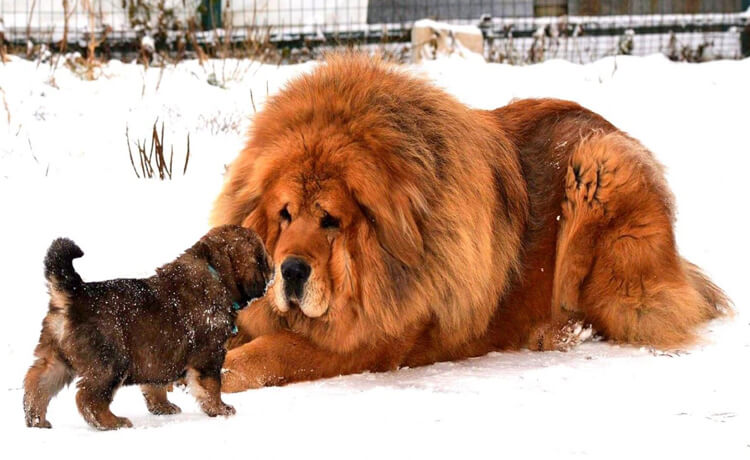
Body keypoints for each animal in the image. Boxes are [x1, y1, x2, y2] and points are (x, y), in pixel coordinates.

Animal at [23, 225, 274, 430]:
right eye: (262, 256)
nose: (274, 267)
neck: (216, 272)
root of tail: (73, 293)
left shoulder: (157, 355)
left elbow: (155, 386)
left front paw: (162, 407)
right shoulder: (209, 354)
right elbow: (212, 386)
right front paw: (221, 410)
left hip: (56, 357)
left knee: (37, 383)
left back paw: (36, 420)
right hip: (111, 362)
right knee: (88, 398)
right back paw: (112, 422)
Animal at [212, 54, 728, 392]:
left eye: (331, 220)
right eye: (284, 214)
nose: (291, 271)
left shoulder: (367, 341)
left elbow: (271, 352)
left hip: (600, 171)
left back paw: (556, 331)